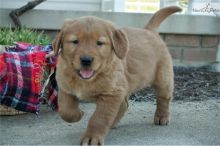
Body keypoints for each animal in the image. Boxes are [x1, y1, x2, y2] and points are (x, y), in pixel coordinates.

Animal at [52, 6, 181, 145]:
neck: (88, 79)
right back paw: (113, 123)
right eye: (75, 41)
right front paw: (78, 114)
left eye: (99, 43)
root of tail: (149, 31)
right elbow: (65, 110)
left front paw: (92, 137)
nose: (86, 60)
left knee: (163, 98)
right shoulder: (65, 87)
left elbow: (99, 118)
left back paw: (162, 117)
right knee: (124, 104)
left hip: (163, 78)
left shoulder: (111, 93)